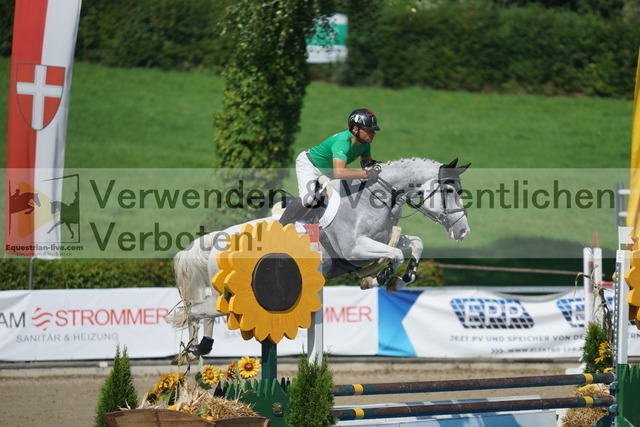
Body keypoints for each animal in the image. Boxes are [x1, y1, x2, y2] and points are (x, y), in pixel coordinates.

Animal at [170, 157, 470, 362]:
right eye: (449, 191)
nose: (463, 232)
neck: (373, 199)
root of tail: (215, 240)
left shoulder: (381, 240)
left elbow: (414, 244)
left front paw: (400, 279)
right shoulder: (356, 249)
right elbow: (395, 254)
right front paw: (380, 277)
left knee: (200, 309)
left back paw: (198, 348)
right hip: (231, 295)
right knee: (196, 310)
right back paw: (193, 350)